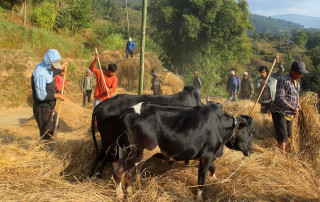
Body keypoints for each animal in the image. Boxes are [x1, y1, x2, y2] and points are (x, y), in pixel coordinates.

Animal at [114, 102, 254, 200]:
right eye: (249, 132)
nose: (252, 151)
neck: (220, 125)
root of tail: (127, 112)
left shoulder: (208, 155)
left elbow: (213, 168)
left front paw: (215, 179)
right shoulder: (207, 155)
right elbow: (201, 180)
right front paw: (199, 198)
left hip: (128, 150)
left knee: (128, 173)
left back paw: (130, 193)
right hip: (140, 151)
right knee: (118, 167)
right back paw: (120, 195)